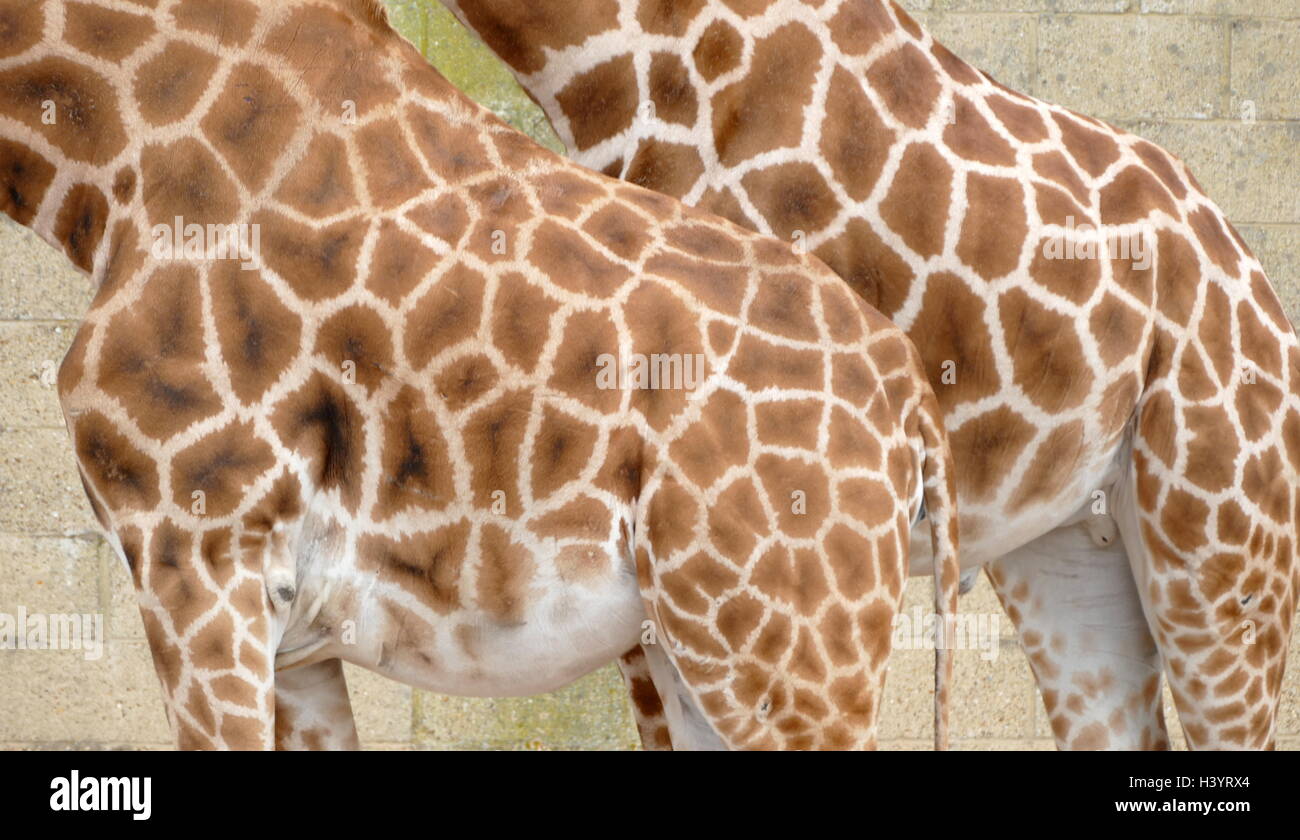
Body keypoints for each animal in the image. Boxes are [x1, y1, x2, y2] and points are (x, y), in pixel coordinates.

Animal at [0, 0, 961, 750]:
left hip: (788, 656)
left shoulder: (198, 551)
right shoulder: (284, 626)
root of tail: (913, 401)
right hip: (708, 653)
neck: (108, 153)